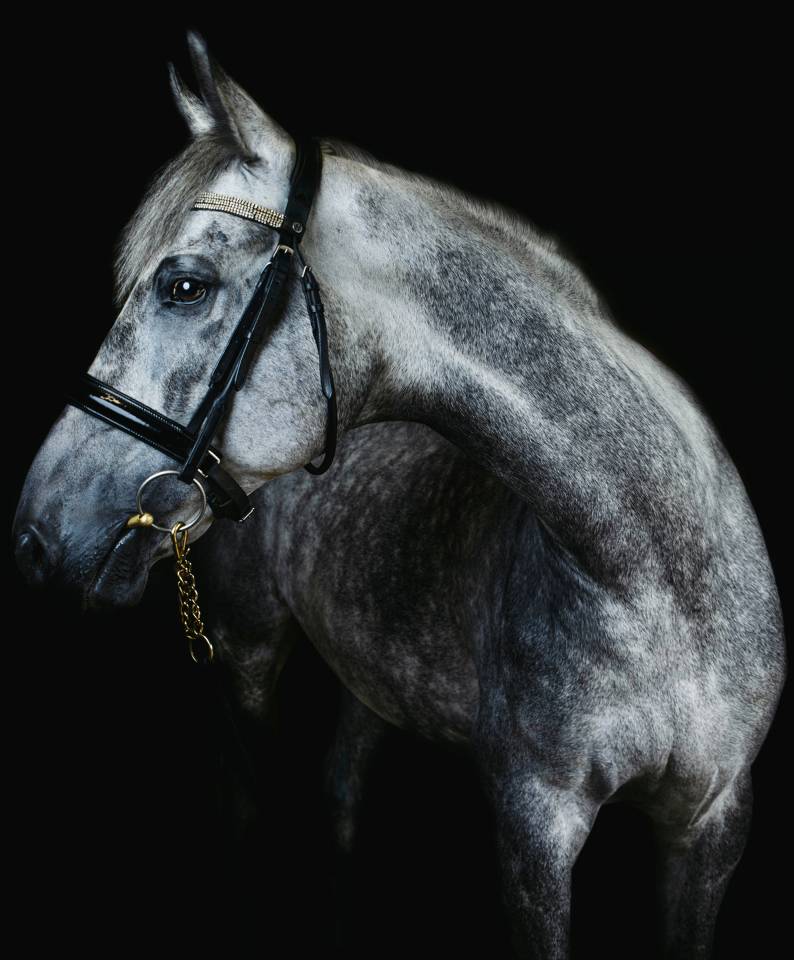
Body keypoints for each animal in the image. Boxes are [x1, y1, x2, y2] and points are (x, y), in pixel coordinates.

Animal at [12, 29, 786, 959]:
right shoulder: (536, 826)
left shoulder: (715, 823)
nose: (33, 536)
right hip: (248, 652)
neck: (654, 580)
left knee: (341, 792)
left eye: (184, 285)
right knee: (247, 802)